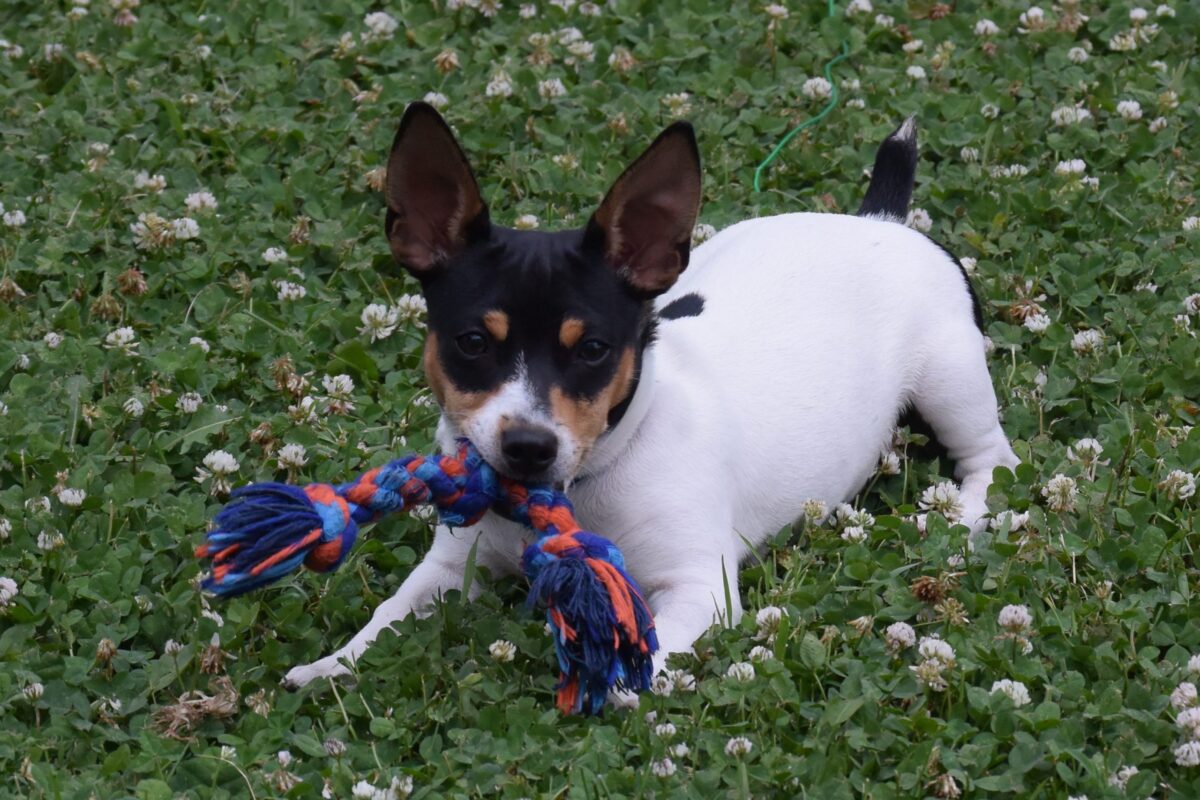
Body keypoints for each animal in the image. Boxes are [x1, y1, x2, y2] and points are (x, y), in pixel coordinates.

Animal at [283, 103, 1022, 695]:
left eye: (592, 350)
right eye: (471, 342)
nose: (528, 447)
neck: (589, 480)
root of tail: (884, 219)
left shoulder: (699, 587)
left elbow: (657, 642)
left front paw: (620, 688)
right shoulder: (452, 565)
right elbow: (389, 615)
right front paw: (332, 664)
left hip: (950, 375)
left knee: (993, 457)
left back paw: (960, 513)